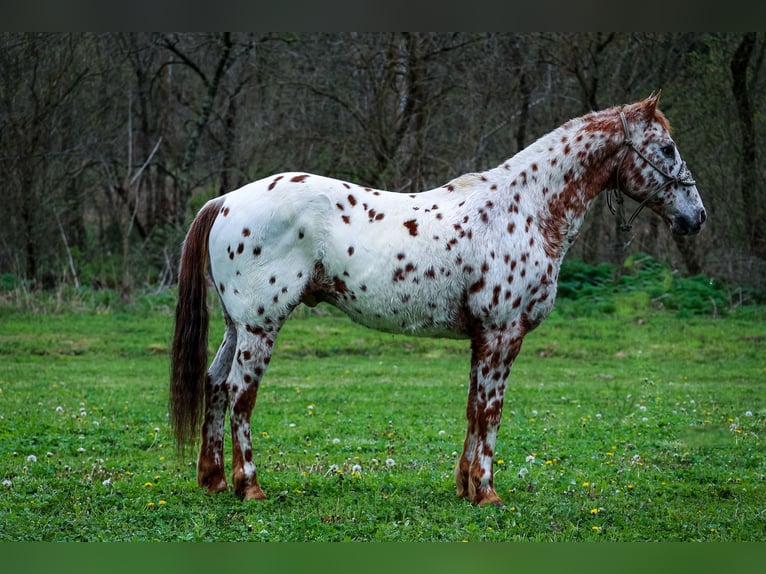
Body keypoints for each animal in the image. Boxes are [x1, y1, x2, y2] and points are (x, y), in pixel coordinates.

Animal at [172, 91, 708, 508]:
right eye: (666, 147)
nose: (696, 216)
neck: (525, 210)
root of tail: (226, 200)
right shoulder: (502, 333)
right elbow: (490, 411)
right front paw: (487, 493)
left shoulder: (482, 337)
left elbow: (473, 408)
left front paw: (466, 487)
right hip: (260, 327)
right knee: (240, 394)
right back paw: (249, 486)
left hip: (237, 327)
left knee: (215, 385)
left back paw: (213, 480)